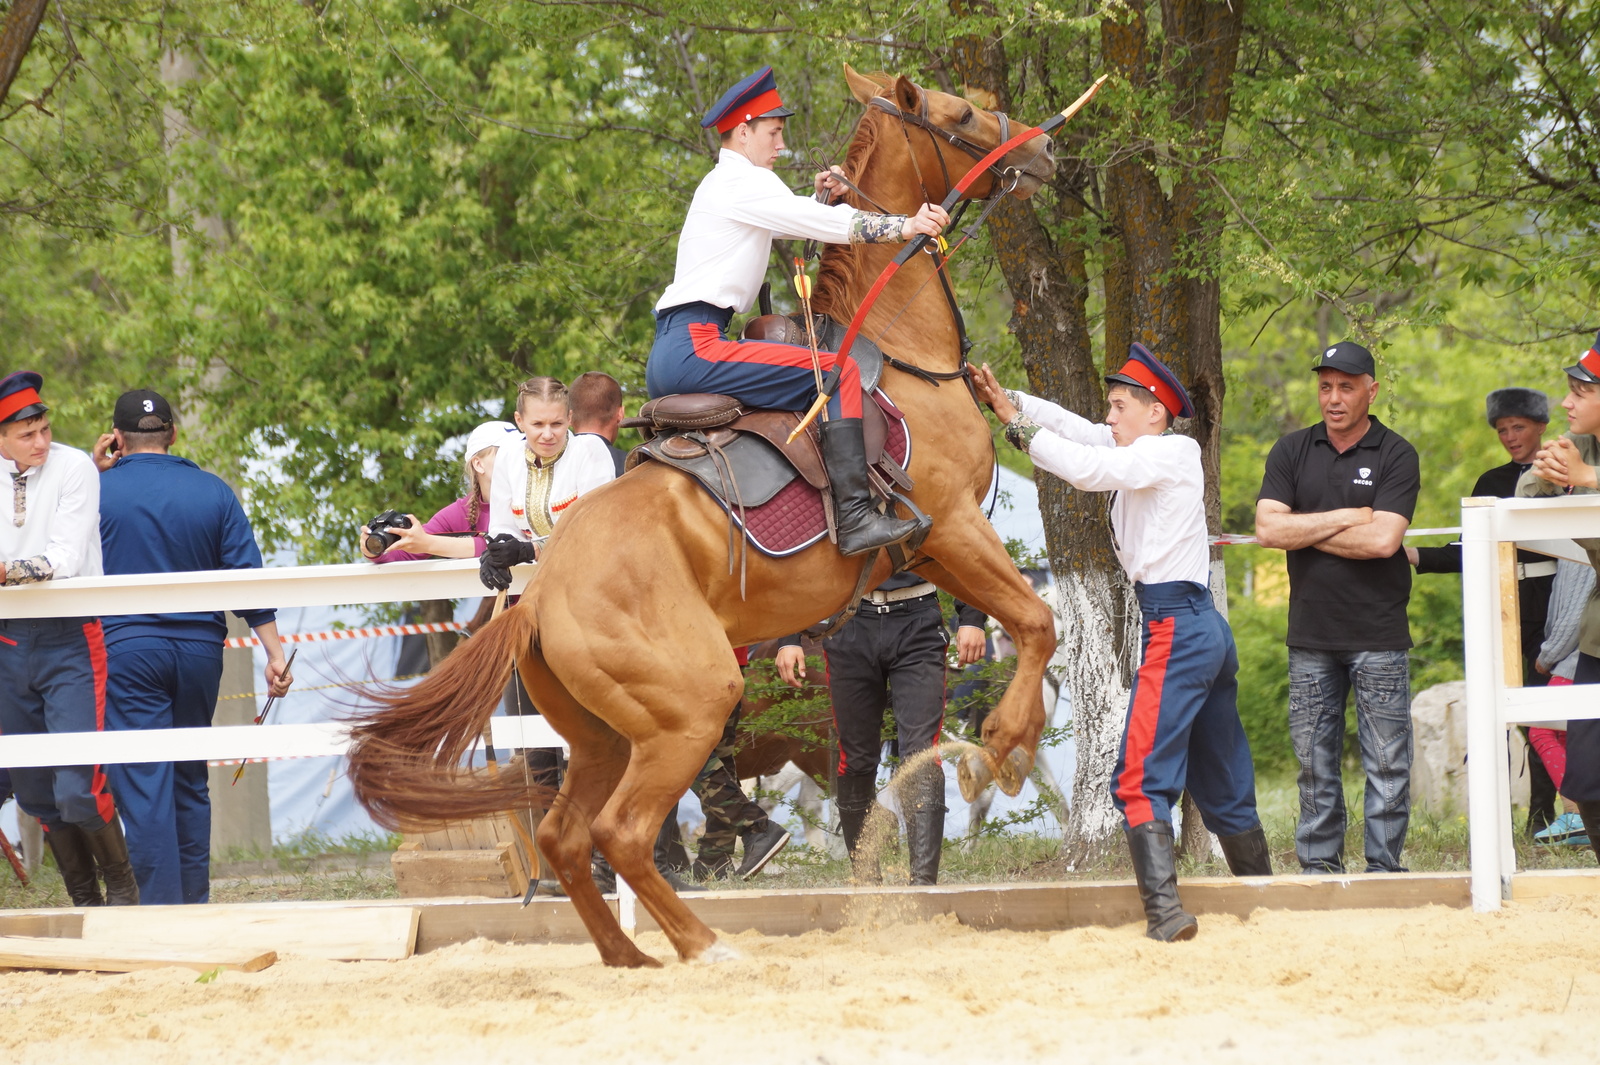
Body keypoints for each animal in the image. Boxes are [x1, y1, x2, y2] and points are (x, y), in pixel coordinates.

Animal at [344, 64, 1056, 959]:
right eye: (959, 114)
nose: (1041, 147)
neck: (899, 350)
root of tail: (536, 595)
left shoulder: (938, 549)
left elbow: (1025, 625)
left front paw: (1002, 748)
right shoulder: (954, 527)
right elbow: (1036, 621)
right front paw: (1000, 747)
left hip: (604, 735)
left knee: (567, 836)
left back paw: (631, 956)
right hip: (689, 708)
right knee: (620, 831)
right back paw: (703, 942)